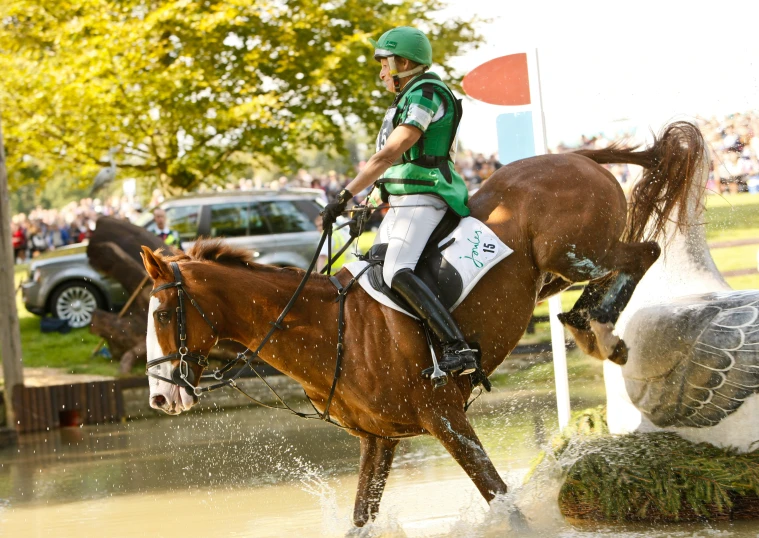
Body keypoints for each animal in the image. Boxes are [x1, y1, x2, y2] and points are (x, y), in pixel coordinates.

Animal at [141, 120, 708, 524]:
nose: (160, 398)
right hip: (547, 275)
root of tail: (575, 155)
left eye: (164, 313)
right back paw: (589, 325)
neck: (329, 328)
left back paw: (600, 330)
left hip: (573, 253)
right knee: (613, 269)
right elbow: (361, 519)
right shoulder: (379, 440)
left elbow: (504, 503)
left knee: (642, 252)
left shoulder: (446, 417)